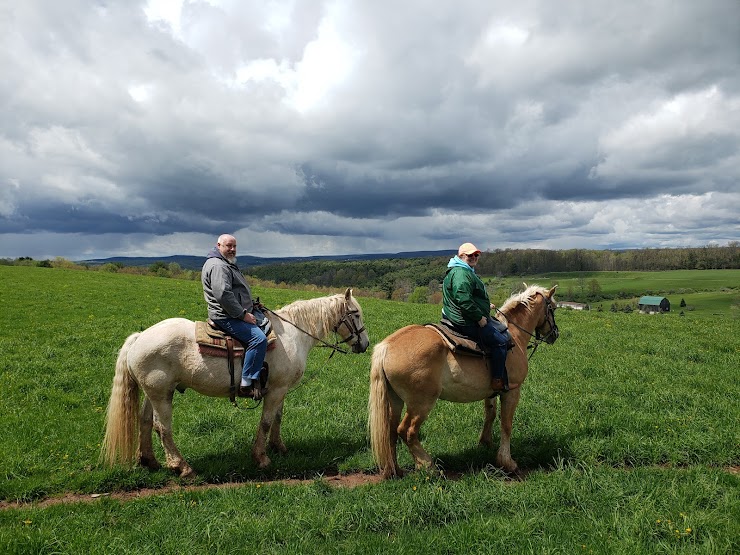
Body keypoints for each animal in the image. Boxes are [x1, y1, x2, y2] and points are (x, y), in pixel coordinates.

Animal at [102, 286, 368, 478]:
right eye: (355, 314)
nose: (364, 344)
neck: (293, 335)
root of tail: (139, 338)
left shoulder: (280, 390)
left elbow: (277, 419)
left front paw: (279, 447)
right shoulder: (275, 391)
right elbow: (266, 422)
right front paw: (261, 458)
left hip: (154, 393)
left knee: (146, 421)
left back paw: (150, 461)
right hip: (161, 395)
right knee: (162, 427)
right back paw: (181, 466)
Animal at [368, 284, 556, 480]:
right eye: (554, 308)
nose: (555, 334)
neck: (514, 336)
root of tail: (386, 346)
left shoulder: (492, 391)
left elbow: (490, 414)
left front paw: (485, 443)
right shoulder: (512, 391)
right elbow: (506, 424)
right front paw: (507, 462)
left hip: (395, 400)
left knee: (390, 431)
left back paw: (394, 471)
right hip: (421, 403)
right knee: (407, 431)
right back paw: (428, 466)